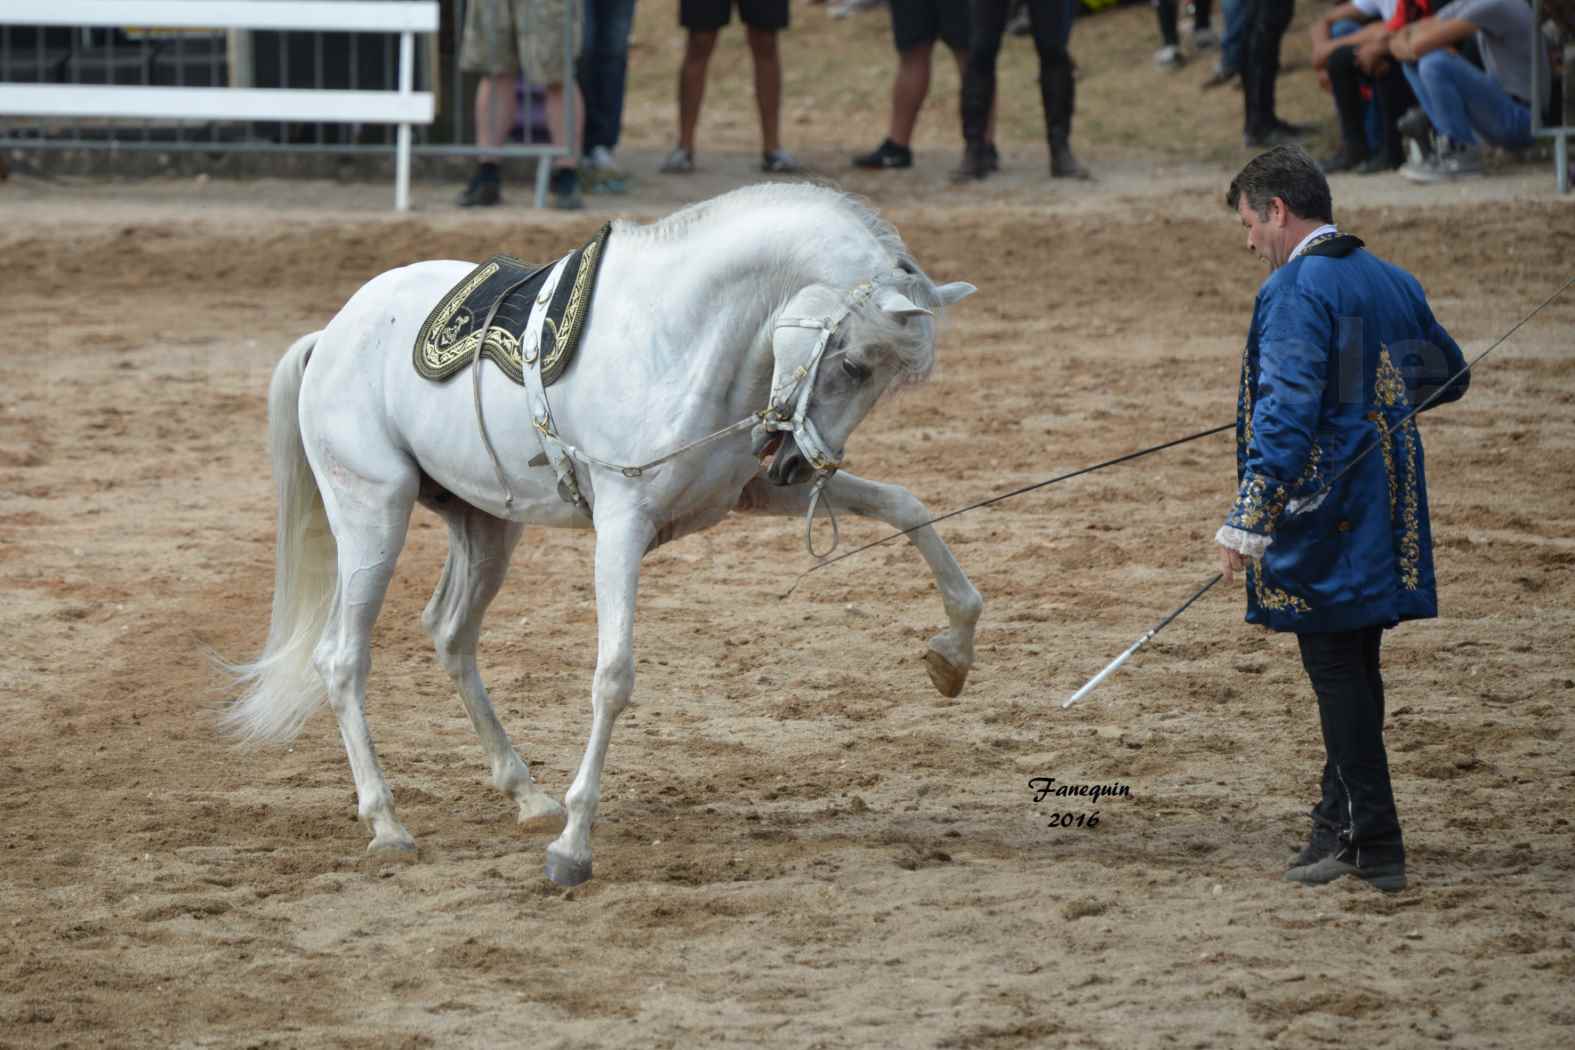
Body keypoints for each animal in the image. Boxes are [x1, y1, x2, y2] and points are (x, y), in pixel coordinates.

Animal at [222, 182, 982, 887]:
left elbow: (907, 507)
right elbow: (613, 676)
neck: (679, 335)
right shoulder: (622, 525)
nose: (801, 461)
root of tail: (330, 337)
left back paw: (526, 795)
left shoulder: (752, 492)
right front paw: (573, 848)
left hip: (484, 526)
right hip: (372, 516)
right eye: (853, 362)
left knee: (449, 632)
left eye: (884, 378)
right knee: (342, 659)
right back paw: (387, 823)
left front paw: (951, 656)